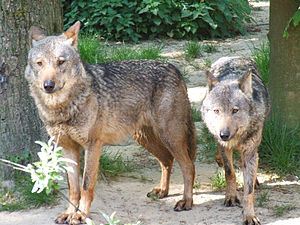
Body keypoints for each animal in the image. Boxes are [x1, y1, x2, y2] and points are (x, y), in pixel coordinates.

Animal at [24, 20, 196, 223]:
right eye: (40, 63)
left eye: (61, 62)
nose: (48, 85)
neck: (64, 108)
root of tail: (173, 68)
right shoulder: (67, 147)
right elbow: (73, 188)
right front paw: (69, 212)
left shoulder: (92, 145)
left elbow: (86, 185)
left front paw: (81, 215)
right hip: (145, 138)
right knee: (167, 160)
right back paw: (162, 191)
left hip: (169, 136)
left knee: (188, 166)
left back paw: (186, 201)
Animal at [200, 57, 270, 224]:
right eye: (217, 110)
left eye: (235, 110)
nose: (224, 134)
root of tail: (234, 57)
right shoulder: (225, 147)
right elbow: (229, 172)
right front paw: (231, 197)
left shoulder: (250, 152)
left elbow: (248, 190)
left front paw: (249, 215)